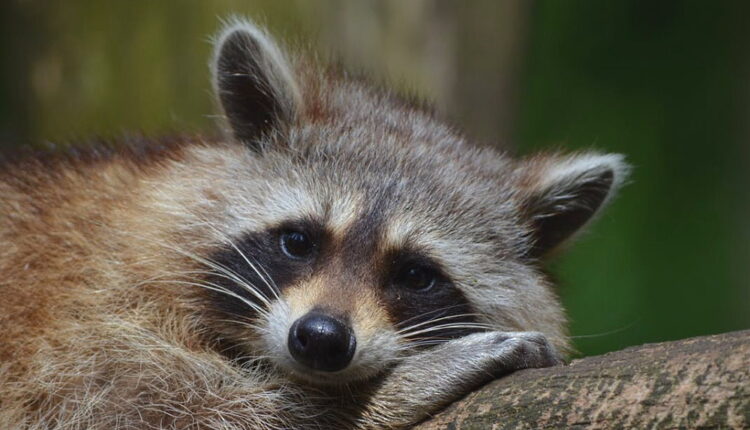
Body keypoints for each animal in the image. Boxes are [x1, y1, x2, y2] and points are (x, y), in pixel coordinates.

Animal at [0, 19, 628, 430]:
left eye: (416, 275)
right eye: (298, 241)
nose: (322, 339)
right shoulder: (80, 318)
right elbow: (144, 407)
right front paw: (376, 397)